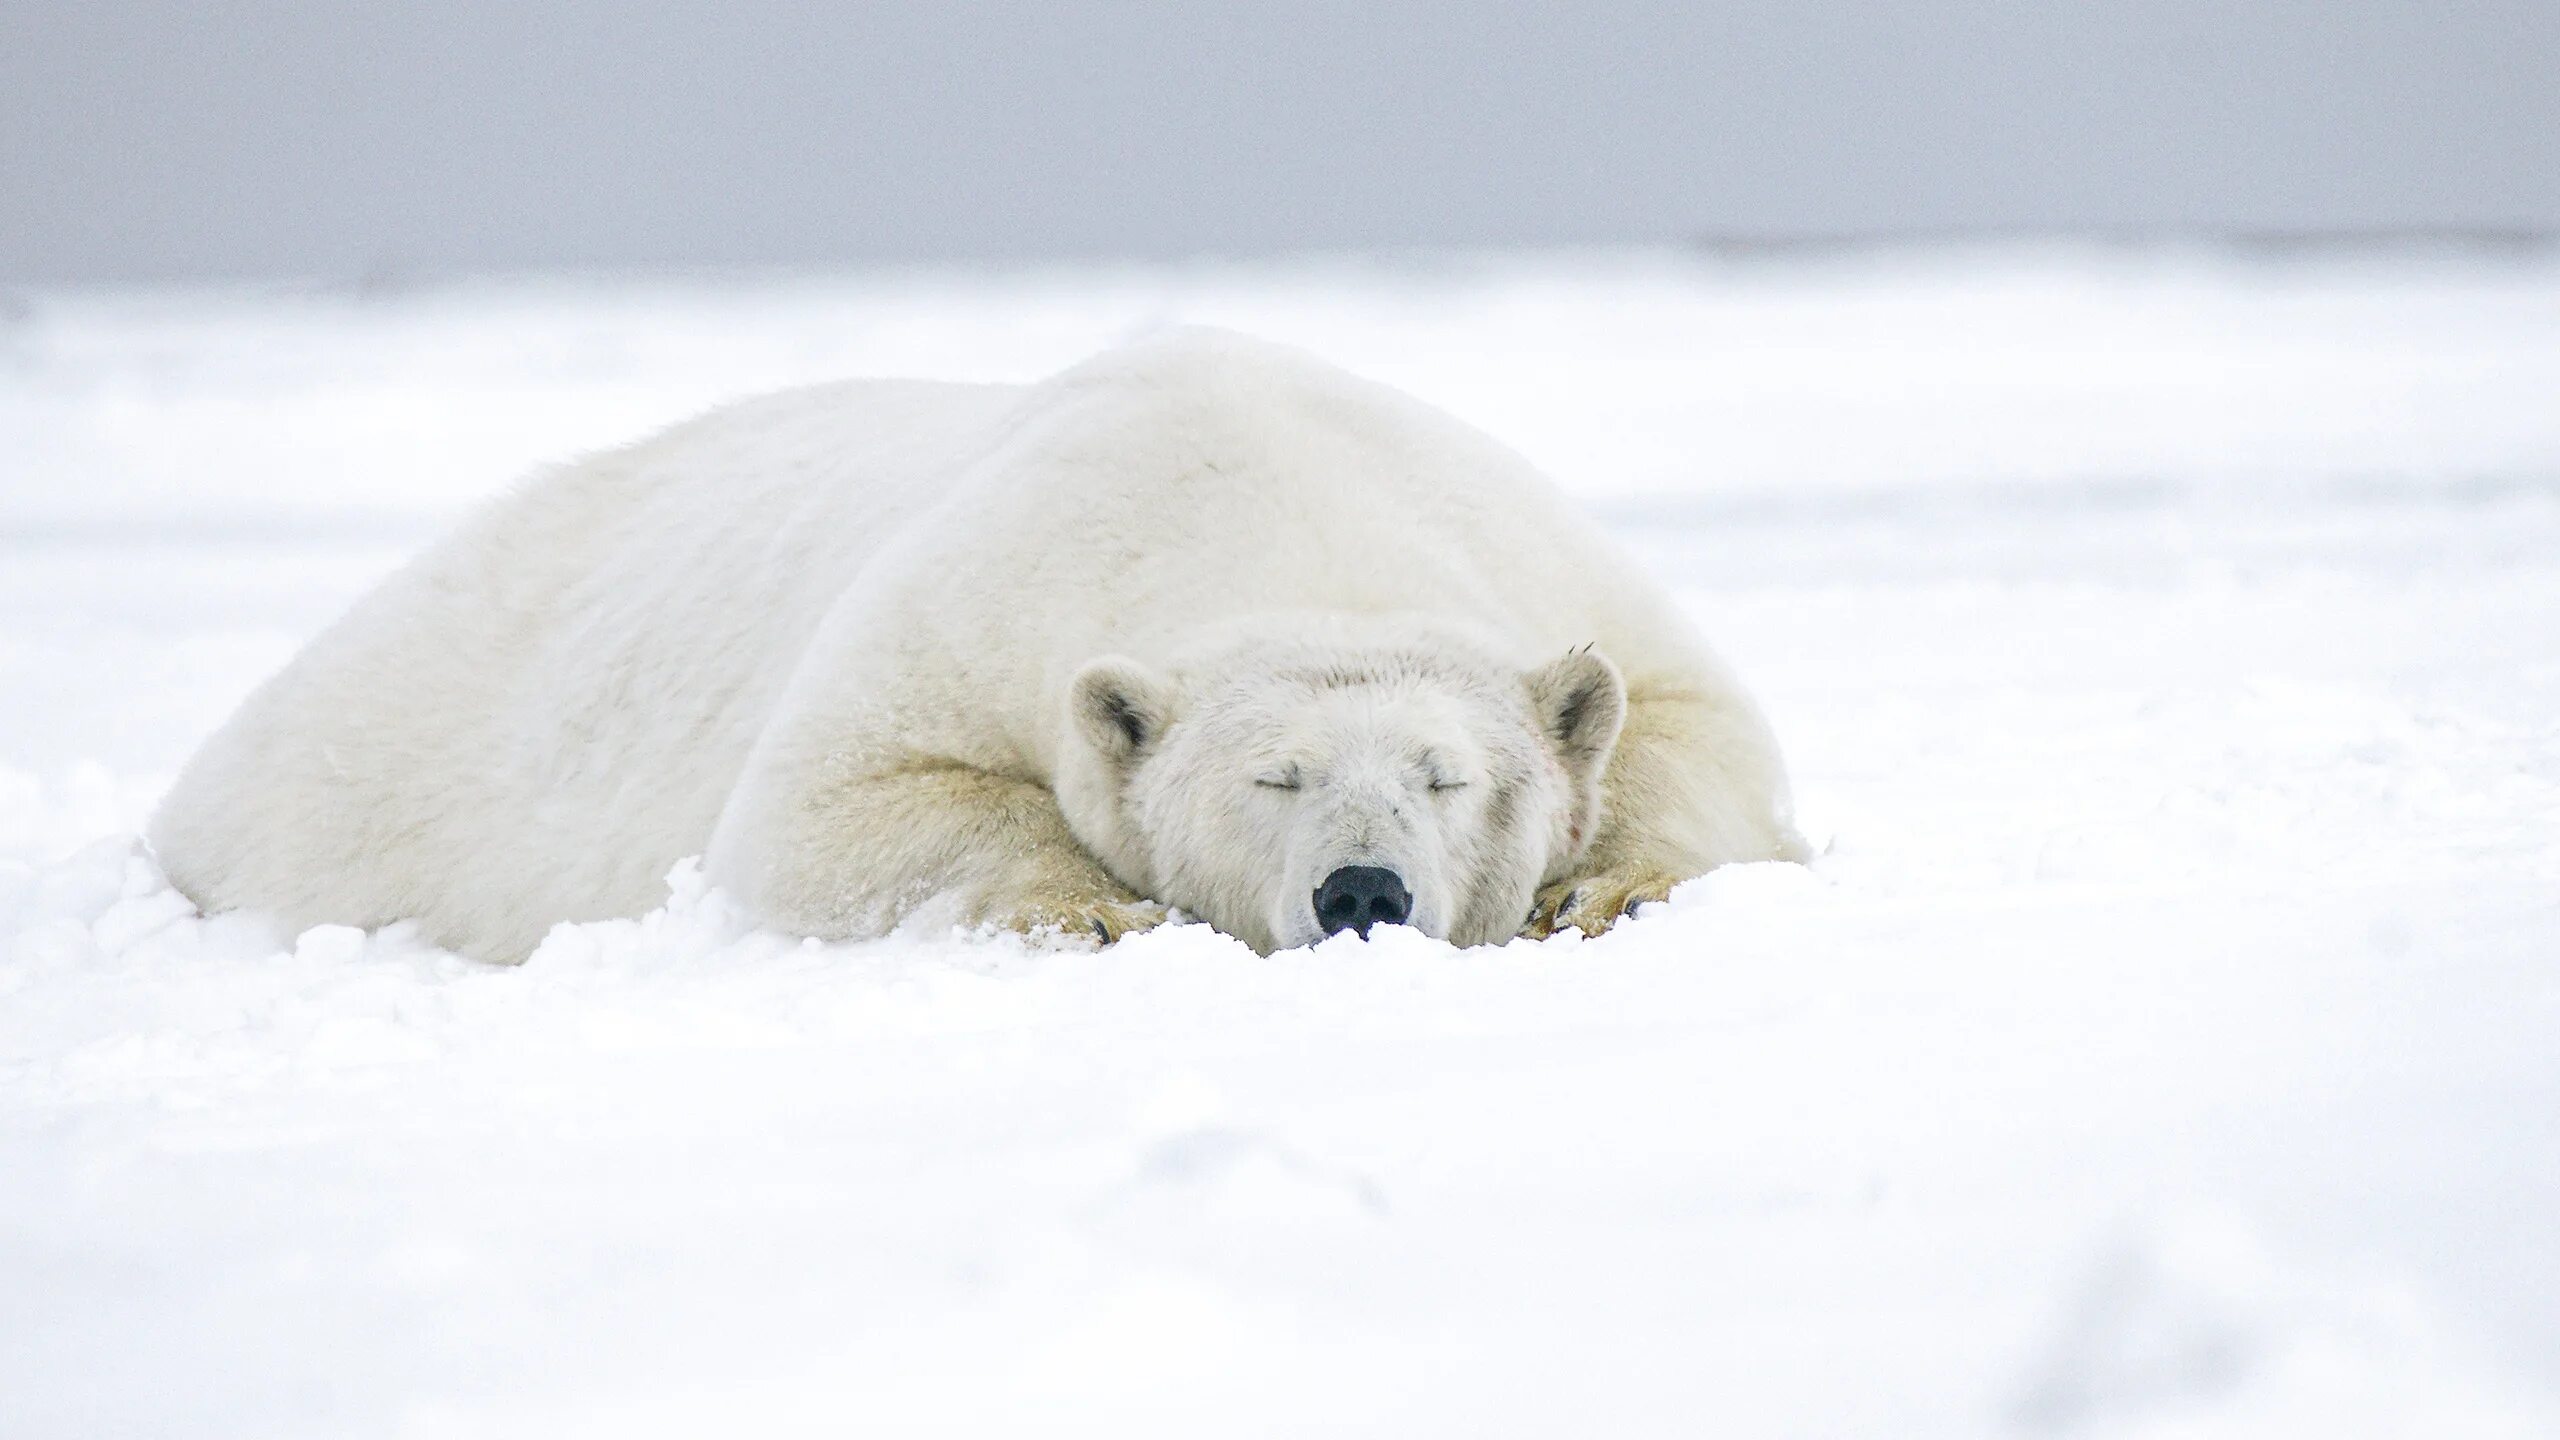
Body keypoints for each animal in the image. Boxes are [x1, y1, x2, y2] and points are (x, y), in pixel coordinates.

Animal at [149, 324, 1812, 953]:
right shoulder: (983, 595)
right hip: (368, 778)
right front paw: (1093, 911)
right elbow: (829, 813)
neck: (1269, 491)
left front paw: (1604, 890)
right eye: (1269, 779)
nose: (1362, 892)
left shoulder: (1530, 549)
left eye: (1447, 775)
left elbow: (1694, 732)